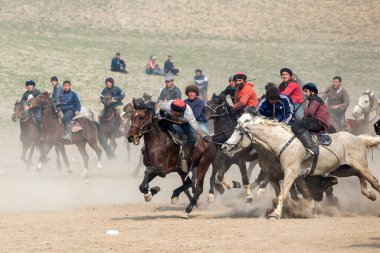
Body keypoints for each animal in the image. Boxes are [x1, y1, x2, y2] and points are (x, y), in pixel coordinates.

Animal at [221, 112, 380, 219]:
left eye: (240, 132)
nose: (224, 147)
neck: (279, 144)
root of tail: (358, 138)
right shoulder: (275, 177)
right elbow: (296, 194)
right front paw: (304, 210)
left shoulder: (291, 174)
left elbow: (284, 194)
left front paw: (276, 214)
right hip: (343, 169)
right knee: (359, 175)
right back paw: (369, 193)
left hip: (360, 165)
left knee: (373, 180)